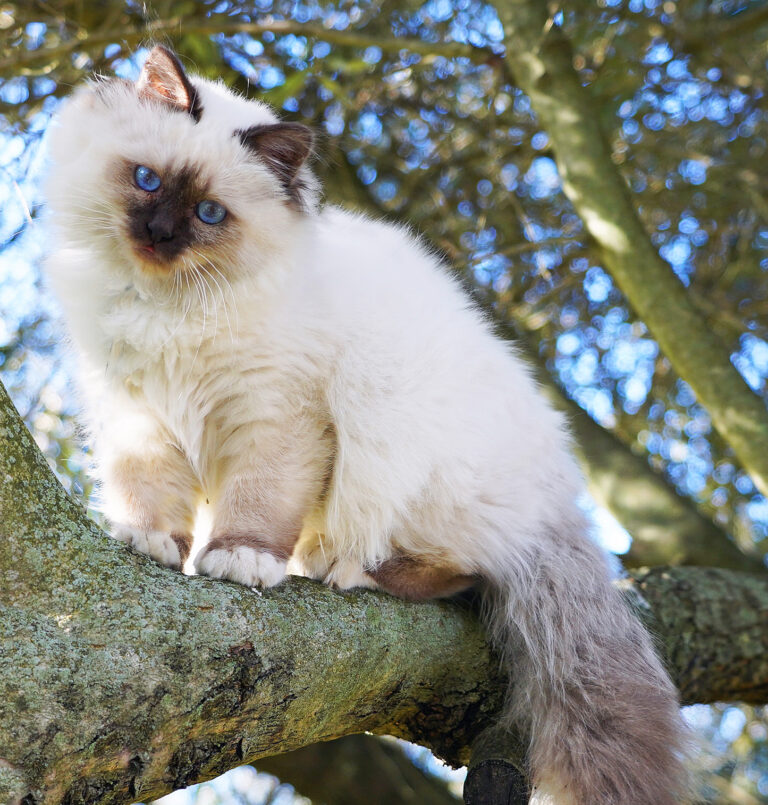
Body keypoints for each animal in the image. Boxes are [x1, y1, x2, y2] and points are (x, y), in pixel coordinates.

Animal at [45, 45, 688, 804]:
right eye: (146, 180)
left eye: (208, 213)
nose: (159, 235)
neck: (166, 304)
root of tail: (556, 503)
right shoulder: (136, 414)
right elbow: (150, 492)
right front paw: (151, 541)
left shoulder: (277, 414)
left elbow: (258, 503)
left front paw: (240, 559)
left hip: (400, 443)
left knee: (465, 570)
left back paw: (350, 569)